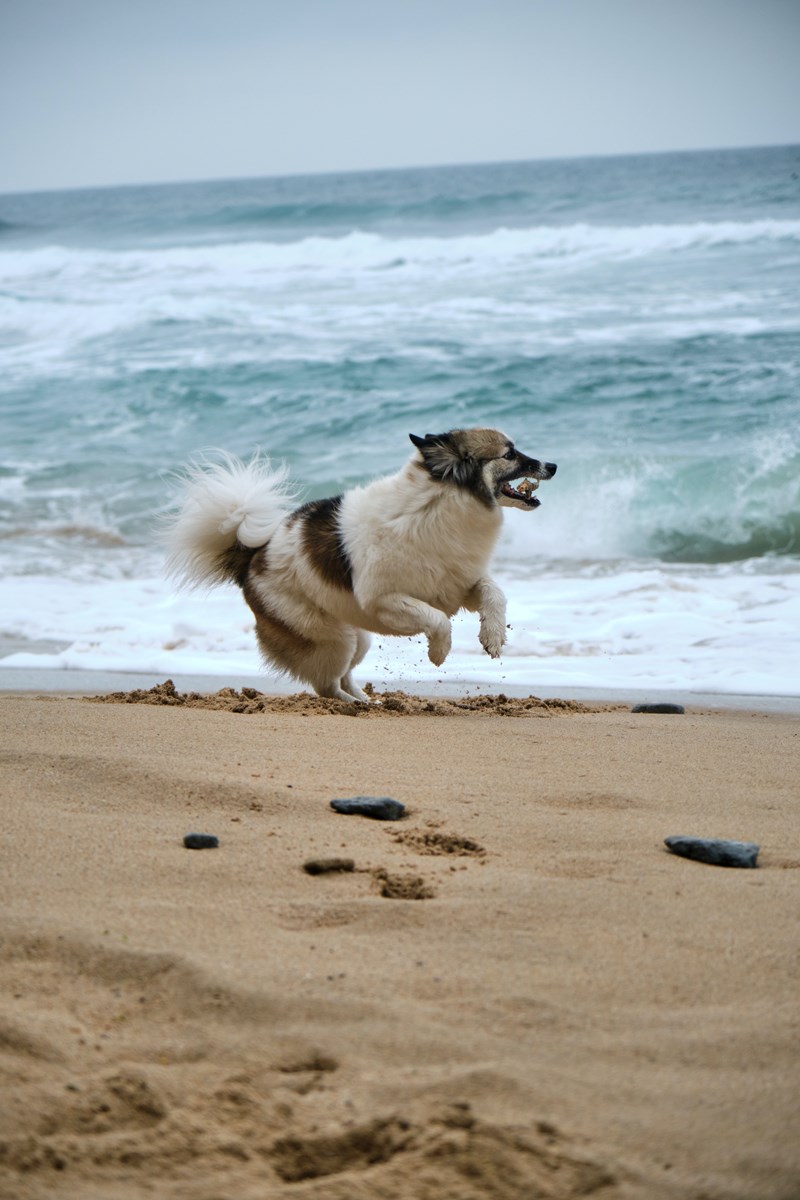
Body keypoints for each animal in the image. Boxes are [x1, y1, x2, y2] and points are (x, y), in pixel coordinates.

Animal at [167, 429, 556, 700]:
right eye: (509, 454)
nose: (552, 465)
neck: (442, 503)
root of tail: (253, 556)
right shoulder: (385, 600)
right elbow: (437, 619)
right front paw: (439, 653)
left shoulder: (458, 585)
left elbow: (494, 593)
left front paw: (493, 636)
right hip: (334, 640)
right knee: (326, 686)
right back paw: (354, 706)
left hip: (358, 638)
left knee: (343, 677)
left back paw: (370, 701)